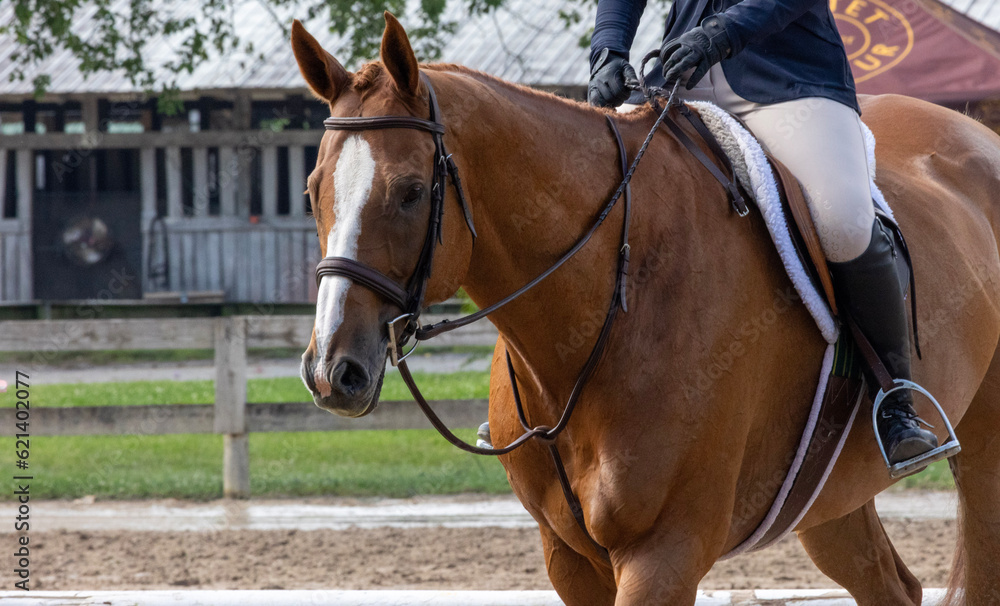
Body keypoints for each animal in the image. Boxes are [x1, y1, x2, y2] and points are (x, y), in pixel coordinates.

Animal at [292, 13, 1000, 605]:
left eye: (412, 192)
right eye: (311, 189)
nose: (333, 372)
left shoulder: (664, 554)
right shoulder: (569, 559)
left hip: (982, 458)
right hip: (829, 495)